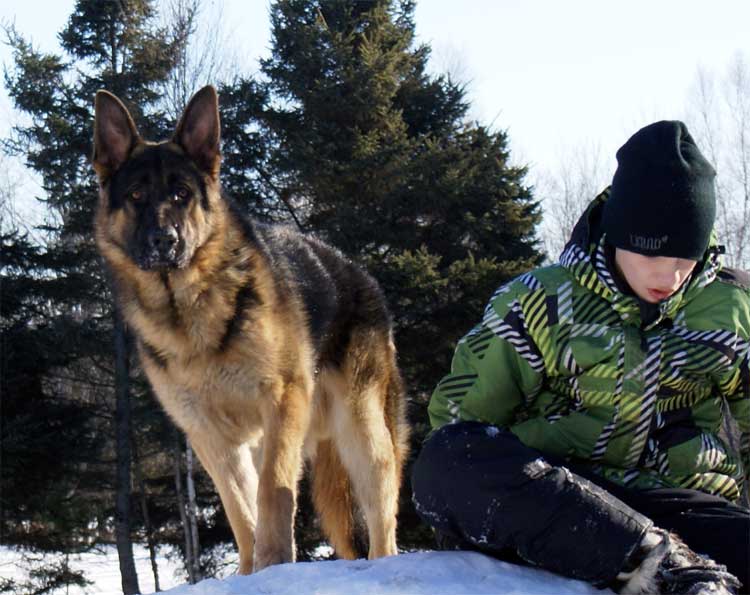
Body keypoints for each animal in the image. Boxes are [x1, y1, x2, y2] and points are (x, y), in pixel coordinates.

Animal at [93, 86, 412, 576]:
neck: (190, 312)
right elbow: (241, 511)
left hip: (362, 433)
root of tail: (361, 276)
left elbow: (273, 496)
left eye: (182, 194)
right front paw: (251, 571)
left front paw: (275, 564)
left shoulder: (281, 403)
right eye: (136, 195)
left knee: (383, 520)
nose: (165, 241)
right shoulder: (210, 436)